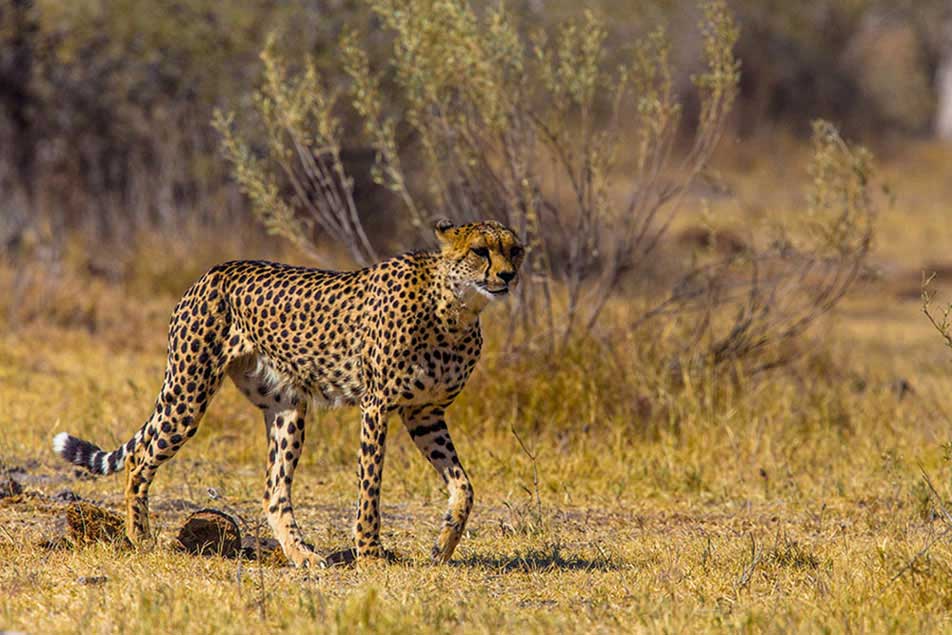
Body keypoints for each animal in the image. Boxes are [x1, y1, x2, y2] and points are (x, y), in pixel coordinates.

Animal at [51, 219, 524, 568]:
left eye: (514, 250)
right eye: (481, 250)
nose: (508, 275)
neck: (456, 309)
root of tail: (213, 271)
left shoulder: (425, 414)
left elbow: (464, 487)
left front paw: (443, 546)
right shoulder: (377, 407)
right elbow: (370, 488)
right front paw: (370, 554)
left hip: (287, 410)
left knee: (273, 492)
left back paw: (303, 555)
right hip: (188, 394)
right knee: (138, 460)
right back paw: (139, 536)